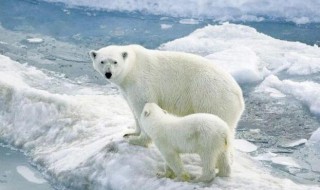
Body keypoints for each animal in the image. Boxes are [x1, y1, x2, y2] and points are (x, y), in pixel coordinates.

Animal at [89, 45, 244, 147]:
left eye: (115, 61)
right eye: (102, 61)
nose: (108, 73)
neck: (132, 68)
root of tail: (239, 95)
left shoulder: (141, 82)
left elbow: (142, 106)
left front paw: (138, 140)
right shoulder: (126, 89)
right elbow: (133, 110)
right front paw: (130, 133)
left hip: (211, 97)